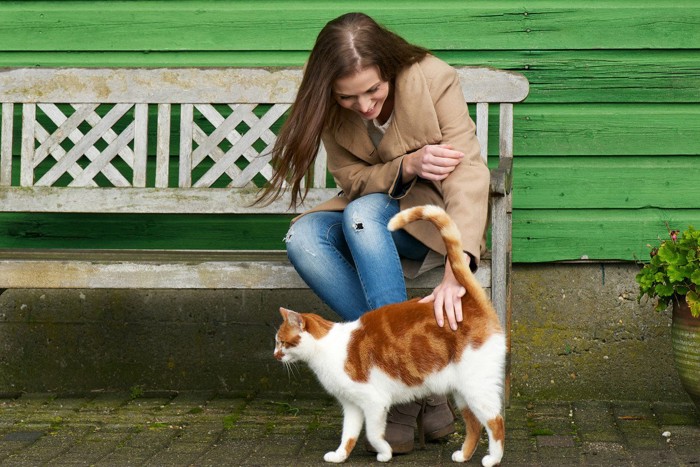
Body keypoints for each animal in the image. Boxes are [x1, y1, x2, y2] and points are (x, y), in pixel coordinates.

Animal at [272, 207, 504, 466]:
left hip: (476, 386)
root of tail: (474, 304)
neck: (326, 349)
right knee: (474, 423)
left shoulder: (374, 402)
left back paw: (493, 458)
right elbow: (348, 434)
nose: (275, 355)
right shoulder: (352, 406)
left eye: (282, 341)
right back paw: (463, 455)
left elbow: (373, 433)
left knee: (495, 422)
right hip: (461, 390)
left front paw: (384, 452)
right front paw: (340, 455)